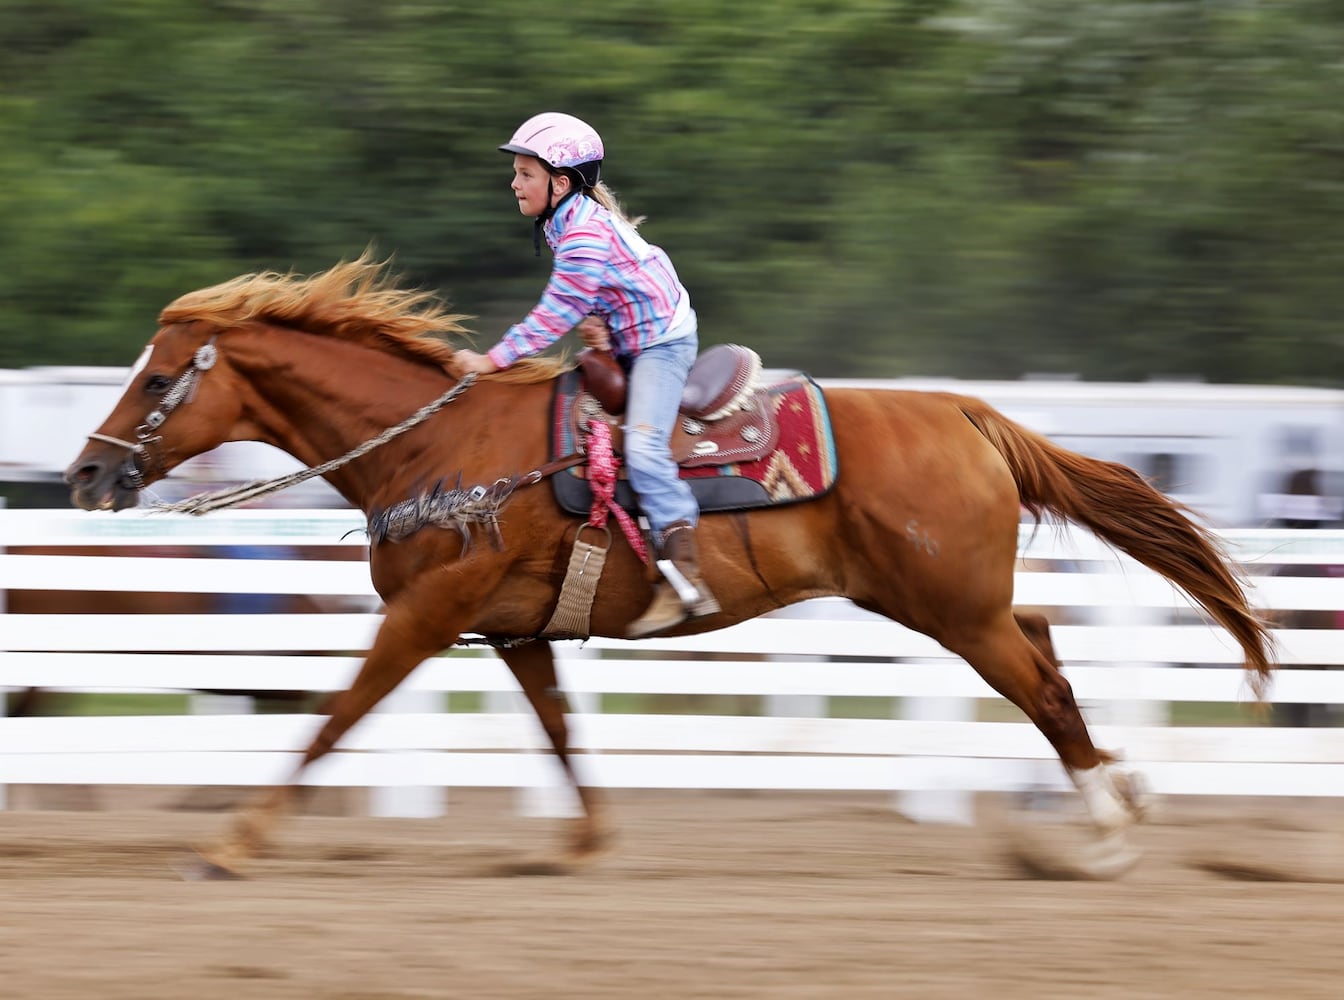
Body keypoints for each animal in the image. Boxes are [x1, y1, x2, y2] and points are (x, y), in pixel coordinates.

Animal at [60, 255, 1268, 876]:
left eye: (158, 375)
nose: (86, 475)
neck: (439, 449)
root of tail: (969, 414)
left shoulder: (424, 616)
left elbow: (331, 719)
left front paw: (235, 841)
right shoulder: (512, 630)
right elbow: (559, 731)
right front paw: (585, 841)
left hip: (954, 611)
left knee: (1047, 689)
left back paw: (1108, 829)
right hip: (955, 605)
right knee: (1050, 656)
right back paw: (1109, 803)